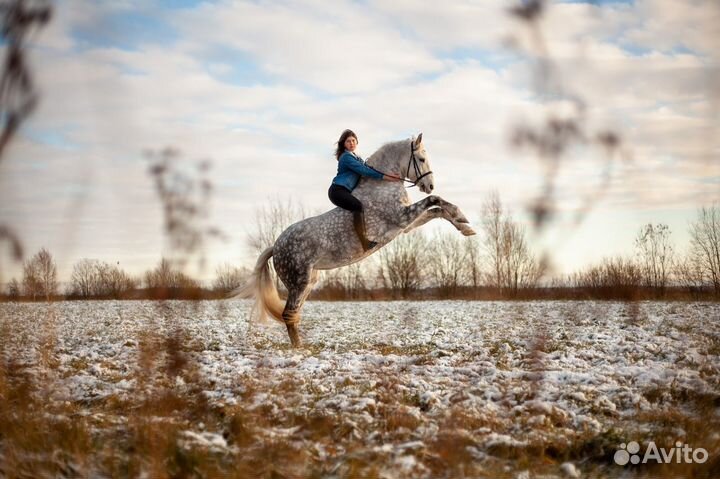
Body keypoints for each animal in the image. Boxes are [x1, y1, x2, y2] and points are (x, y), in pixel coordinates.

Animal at [233, 133, 476, 346]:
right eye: (422, 159)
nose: (430, 185)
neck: (381, 185)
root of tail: (276, 246)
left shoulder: (405, 226)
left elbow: (437, 211)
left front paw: (465, 226)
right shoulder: (401, 217)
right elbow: (435, 201)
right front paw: (461, 216)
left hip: (308, 282)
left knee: (293, 314)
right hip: (298, 282)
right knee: (288, 314)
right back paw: (299, 350)